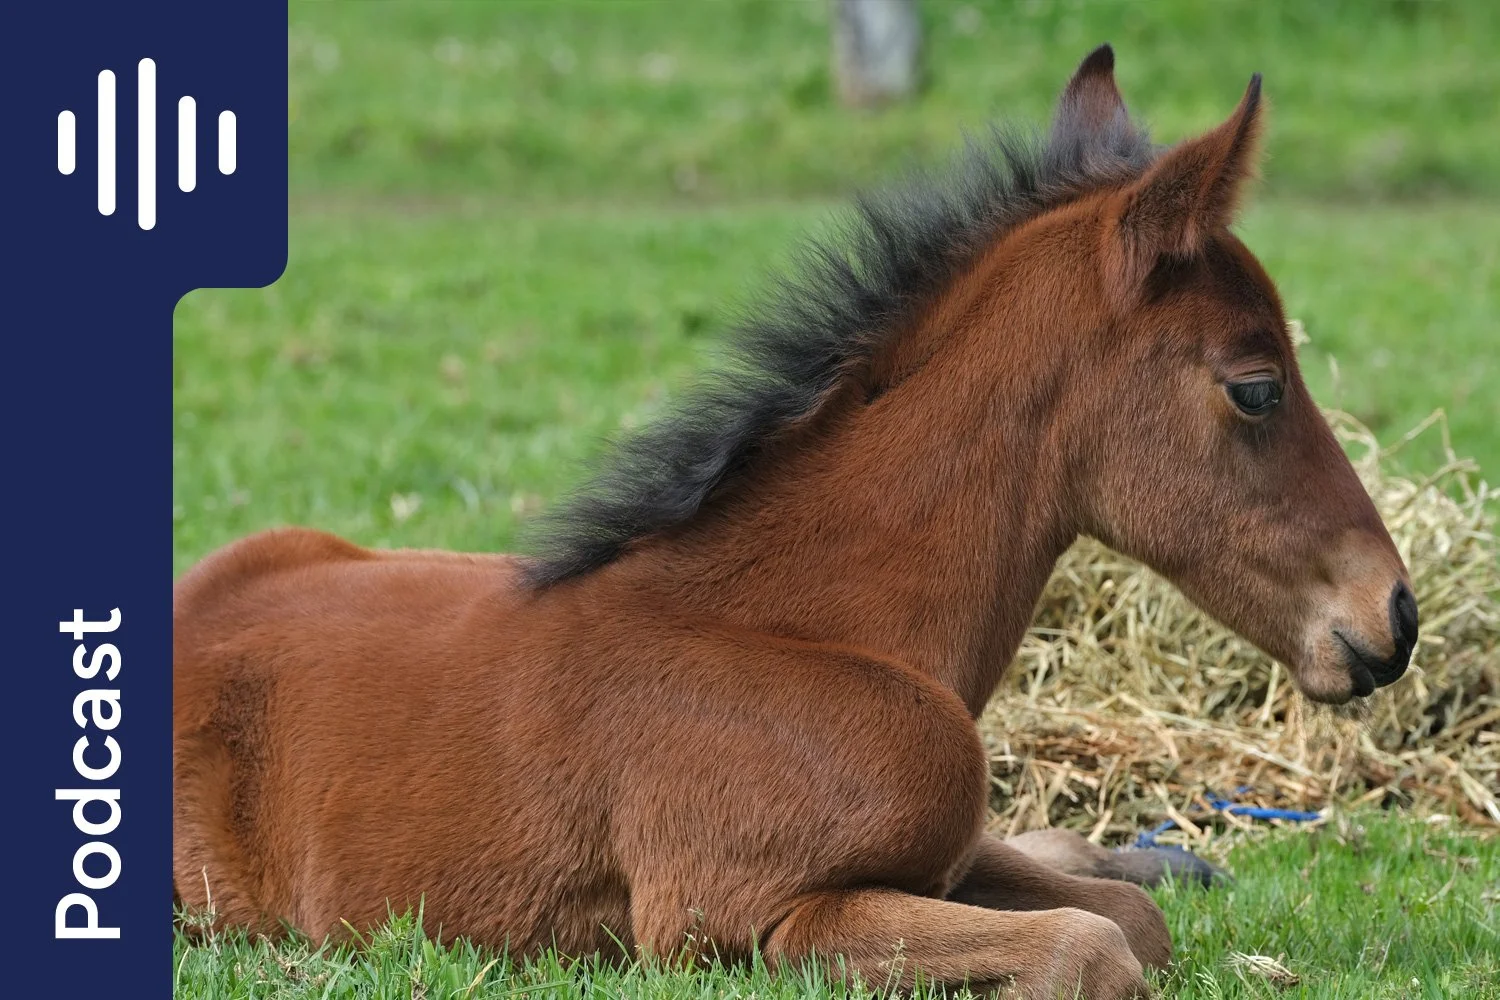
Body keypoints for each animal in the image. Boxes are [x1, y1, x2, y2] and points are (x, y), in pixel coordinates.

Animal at [173, 46, 1418, 1000]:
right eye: (1256, 388)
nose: (1392, 615)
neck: (815, 632)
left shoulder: (938, 855)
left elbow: (1122, 917)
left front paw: (1156, 877)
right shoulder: (745, 918)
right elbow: (1092, 944)